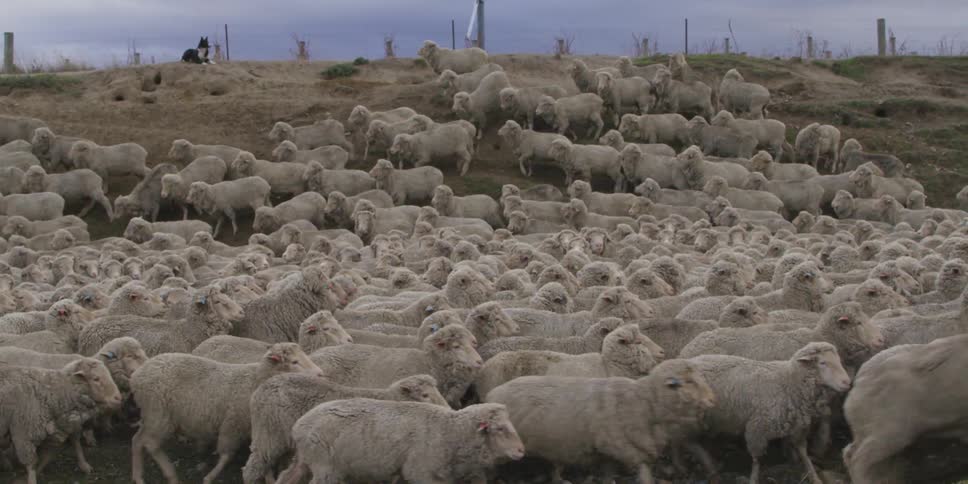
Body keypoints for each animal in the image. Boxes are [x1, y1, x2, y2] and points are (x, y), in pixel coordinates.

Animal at [130, 343, 322, 484]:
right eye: (295, 362)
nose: (321, 373)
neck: (255, 380)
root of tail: (137, 375)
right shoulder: (233, 425)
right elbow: (227, 455)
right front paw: (209, 477)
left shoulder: (261, 430)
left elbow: (264, 459)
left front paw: (269, 478)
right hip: (159, 414)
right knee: (150, 443)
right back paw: (171, 475)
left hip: (152, 416)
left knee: (138, 440)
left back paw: (138, 476)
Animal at [243, 374, 448, 484]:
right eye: (425, 394)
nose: (448, 409)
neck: (390, 398)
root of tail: (261, 388)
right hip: (270, 434)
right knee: (253, 468)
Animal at [281, 399, 521, 484]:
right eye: (500, 428)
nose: (521, 450)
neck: (450, 431)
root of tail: (299, 425)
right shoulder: (421, 472)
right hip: (325, 466)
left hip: (304, 460)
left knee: (286, 477)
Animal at [485, 359, 716, 484]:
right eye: (689, 382)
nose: (713, 400)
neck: (645, 403)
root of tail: (491, 393)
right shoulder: (627, 450)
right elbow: (646, 477)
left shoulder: (607, 454)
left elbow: (608, 476)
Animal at [685, 342, 852, 484]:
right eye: (823, 363)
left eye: (838, 360)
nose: (847, 382)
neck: (789, 382)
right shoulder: (757, 428)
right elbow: (757, 459)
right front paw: (753, 479)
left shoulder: (798, 426)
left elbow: (803, 452)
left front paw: (814, 476)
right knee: (689, 442)